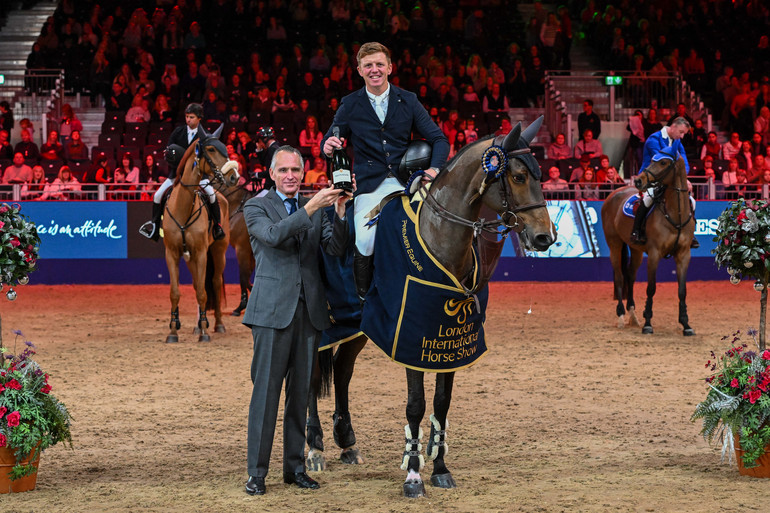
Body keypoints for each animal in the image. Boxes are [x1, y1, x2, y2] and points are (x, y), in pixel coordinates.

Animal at [160, 122, 237, 342]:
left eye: (225, 149)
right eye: (210, 149)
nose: (234, 177)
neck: (183, 207)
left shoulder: (202, 253)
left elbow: (204, 292)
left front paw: (204, 332)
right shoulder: (172, 253)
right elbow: (175, 292)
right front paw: (173, 331)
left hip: (218, 251)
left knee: (215, 283)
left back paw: (217, 324)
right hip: (190, 257)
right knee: (197, 284)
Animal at [304, 117, 552, 496]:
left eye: (539, 175)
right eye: (519, 176)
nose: (545, 237)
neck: (441, 237)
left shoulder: (447, 339)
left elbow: (441, 403)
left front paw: (440, 468)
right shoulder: (411, 336)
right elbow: (416, 404)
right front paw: (413, 475)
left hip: (358, 327)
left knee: (343, 370)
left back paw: (347, 443)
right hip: (322, 325)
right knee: (313, 375)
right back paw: (315, 449)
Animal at [600, 147, 696, 336]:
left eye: (664, 162)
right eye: (652, 159)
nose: (638, 180)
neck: (675, 213)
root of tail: (614, 193)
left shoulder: (683, 254)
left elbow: (682, 291)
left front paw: (686, 324)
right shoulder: (654, 254)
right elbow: (651, 288)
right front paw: (648, 323)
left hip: (636, 250)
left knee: (630, 276)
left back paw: (633, 316)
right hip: (614, 245)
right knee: (620, 277)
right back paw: (621, 316)